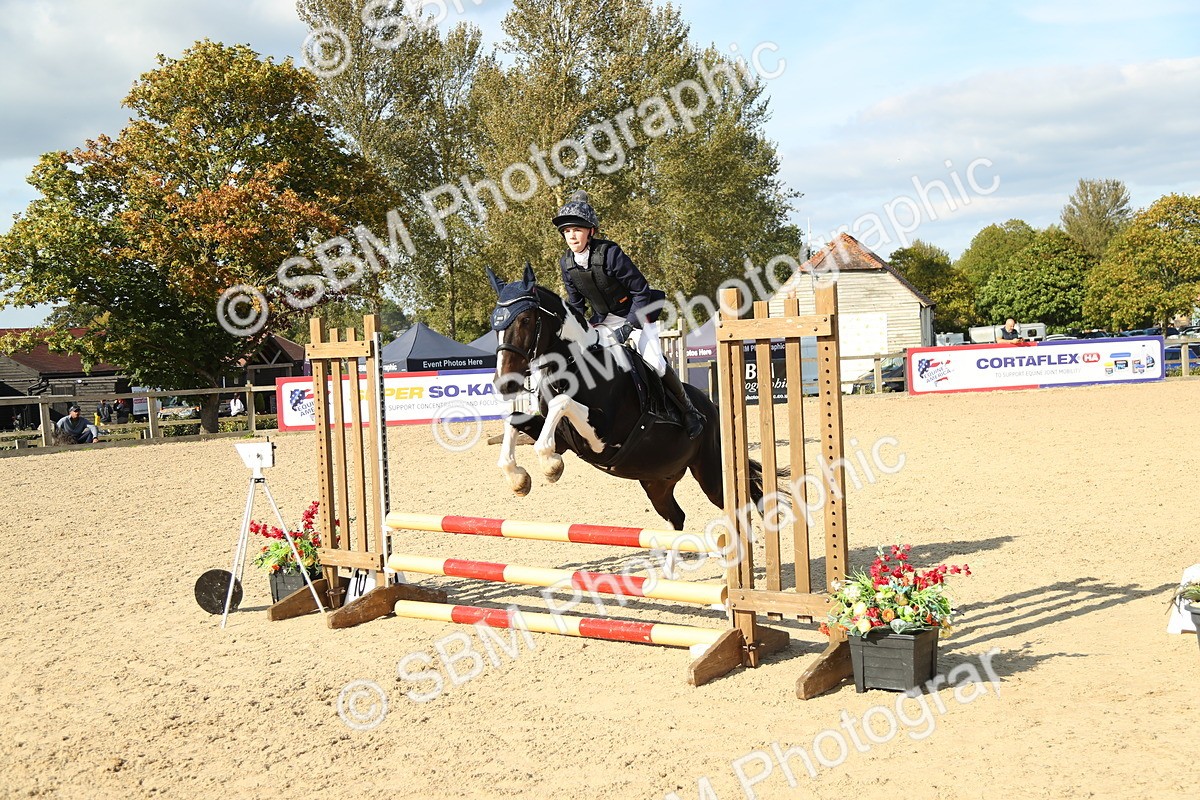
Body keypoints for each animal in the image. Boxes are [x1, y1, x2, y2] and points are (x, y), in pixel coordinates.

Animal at [487, 263, 775, 532]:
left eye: (525, 319)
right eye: (494, 324)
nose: (504, 383)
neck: (574, 365)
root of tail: (713, 407)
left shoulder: (602, 436)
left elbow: (562, 403)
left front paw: (550, 466)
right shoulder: (564, 439)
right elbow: (514, 420)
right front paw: (519, 480)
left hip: (711, 472)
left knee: (740, 505)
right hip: (657, 480)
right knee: (677, 518)